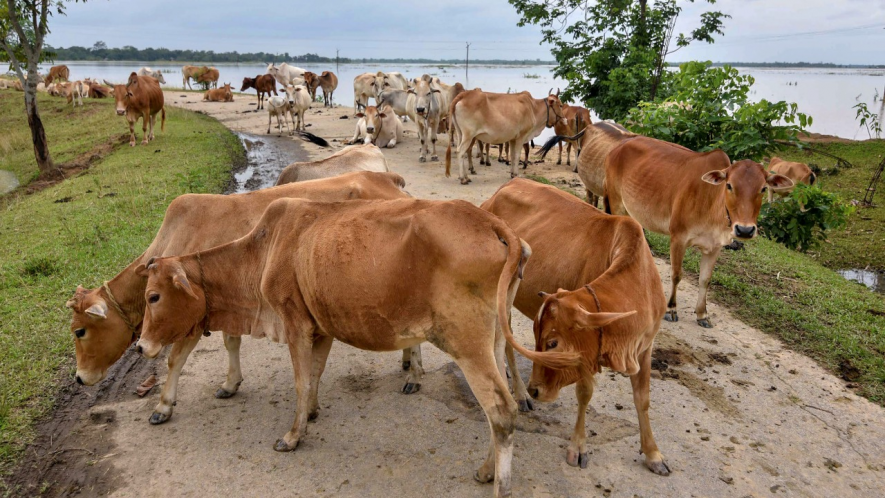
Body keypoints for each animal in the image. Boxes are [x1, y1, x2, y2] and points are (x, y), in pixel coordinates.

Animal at [67, 172, 410, 424]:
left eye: (80, 331)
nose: (80, 379)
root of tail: (389, 180)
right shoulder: (226, 306)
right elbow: (231, 342)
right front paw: (230, 384)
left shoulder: (192, 317)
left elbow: (175, 359)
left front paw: (163, 406)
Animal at [135, 196, 528, 496]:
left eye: (153, 296)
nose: (140, 346)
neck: (263, 251)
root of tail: (492, 223)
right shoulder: (320, 328)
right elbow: (315, 376)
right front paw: (310, 413)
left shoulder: (295, 324)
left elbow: (300, 381)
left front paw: (293, 436)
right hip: (493, 340)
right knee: (498, 409)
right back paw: (486, 470)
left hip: (467, 343)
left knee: (501, 411)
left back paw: (500, 483)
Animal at [484, 178, 668, 474]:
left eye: (552, 343)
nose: (536, 390)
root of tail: (508, 184)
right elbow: (585, 393)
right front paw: (578, 448)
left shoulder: (644, 346)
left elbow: (643, 399)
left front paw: (653, 454)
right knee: (506, 340)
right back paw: (521, 394)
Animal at [604, 138, 792, 328]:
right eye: (729, 185)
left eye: (763, 188)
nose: (745, 230)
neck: (712, 202)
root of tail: (622, 143)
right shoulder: (678, 238)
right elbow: (676, 274)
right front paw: (671, 309)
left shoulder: (715, 246)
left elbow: (705, 279)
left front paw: (702, 314)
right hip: (615, 201)